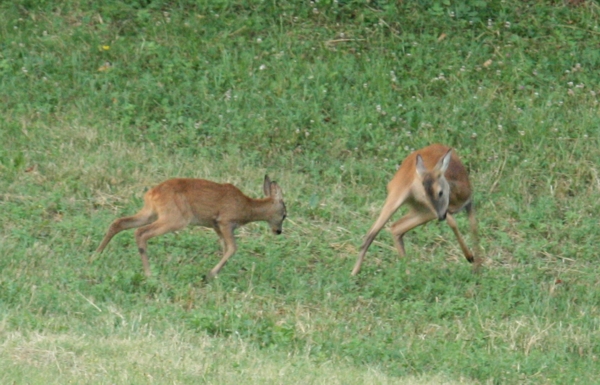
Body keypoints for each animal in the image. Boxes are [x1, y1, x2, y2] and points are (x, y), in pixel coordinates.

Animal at [95, 175, 286, 280]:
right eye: (284, 214)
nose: (278, 231)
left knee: (119, 222)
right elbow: (232, 248)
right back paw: (149, 273)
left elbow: (225, 247)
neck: (247, 207)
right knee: (141, 233)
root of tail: (151, 193)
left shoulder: (216, 226)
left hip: (151, 212)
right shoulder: (225, 221)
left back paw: (95, 256)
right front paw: (210, 275)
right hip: (176, 217)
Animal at [352, 142, 478, 274]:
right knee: (375, 232)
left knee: (394, 228)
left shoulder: (467, 204)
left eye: (440, 192)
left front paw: (476, 266)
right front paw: (470, 257)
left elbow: (474, 227)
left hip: (419, 209)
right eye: (426, 193)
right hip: (400, 198)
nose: (440, 216)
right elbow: (455, 223)